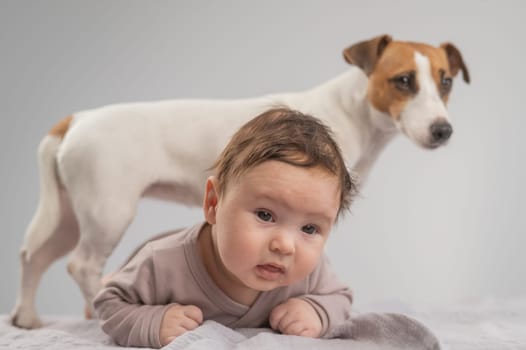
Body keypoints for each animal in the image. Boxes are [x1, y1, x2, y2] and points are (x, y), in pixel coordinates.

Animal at [10, 34, 470, 328]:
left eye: (446, 82)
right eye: (404, 80)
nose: (443, 130)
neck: (351, 110)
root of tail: (77, 119)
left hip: (68, 217)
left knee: (33, 256)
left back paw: (26, 317)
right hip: (108, 211)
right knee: (82, 265)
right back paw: (93, 313)